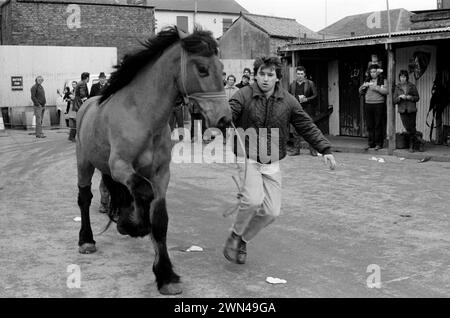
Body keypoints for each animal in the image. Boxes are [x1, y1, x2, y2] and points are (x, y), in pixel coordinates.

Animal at [75, 27, 230, 296]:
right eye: (202, 69)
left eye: (221, 67)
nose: (224, 118)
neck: (142, 116)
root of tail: (86, 106)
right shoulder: (120, 165)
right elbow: (143, 193)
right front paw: (134, 226)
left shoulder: (160, 174)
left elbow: (159, 220)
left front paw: (166, 276)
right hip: (85, 163)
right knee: (85, 198)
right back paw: (87, 240)